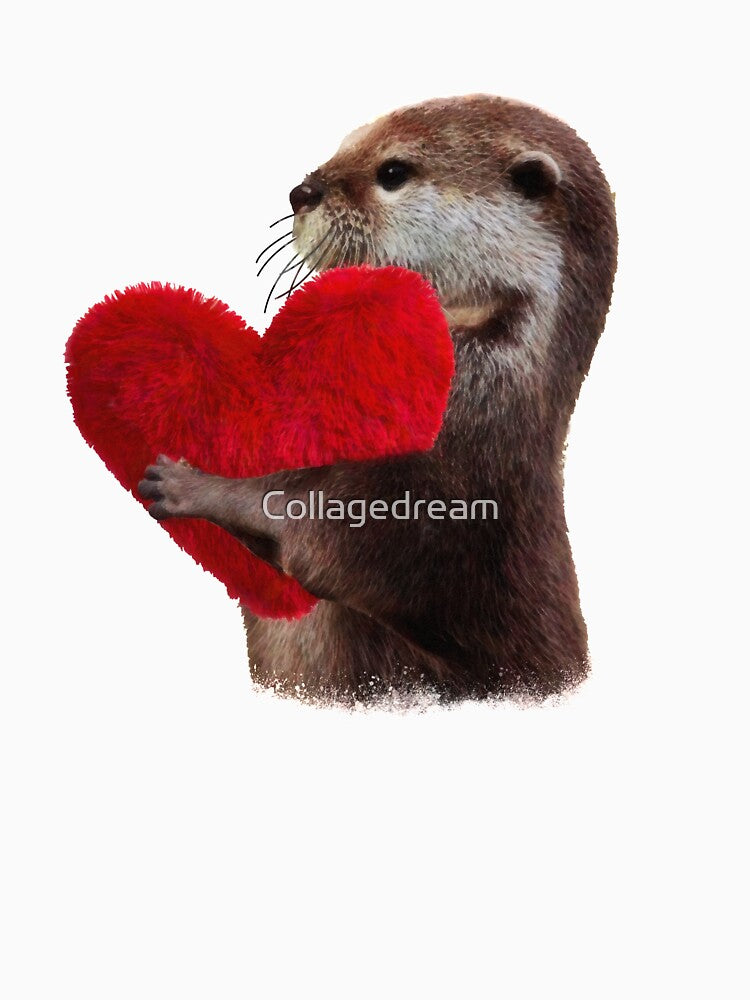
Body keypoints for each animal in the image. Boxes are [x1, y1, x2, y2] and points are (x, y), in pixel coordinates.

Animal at [138, 95, 618, 704]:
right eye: (345, 144)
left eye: (392, 171)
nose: (301, 192)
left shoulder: (448, 468)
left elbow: (320, 535)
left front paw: (186, 484)